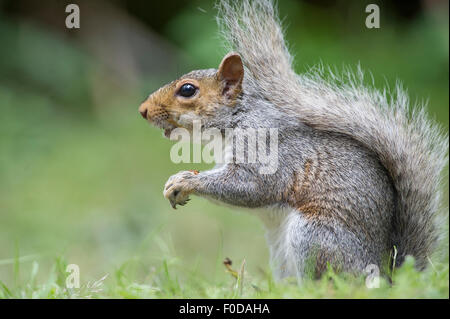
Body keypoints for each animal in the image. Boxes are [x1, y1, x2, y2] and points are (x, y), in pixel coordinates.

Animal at [139, 0, 448, 280]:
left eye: (187, 90)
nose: (143, 110)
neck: (235, 121)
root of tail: (385, 274)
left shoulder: (264, 152)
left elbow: (247, 187)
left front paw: (183, 182)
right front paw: (176, 182)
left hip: (314, 235)